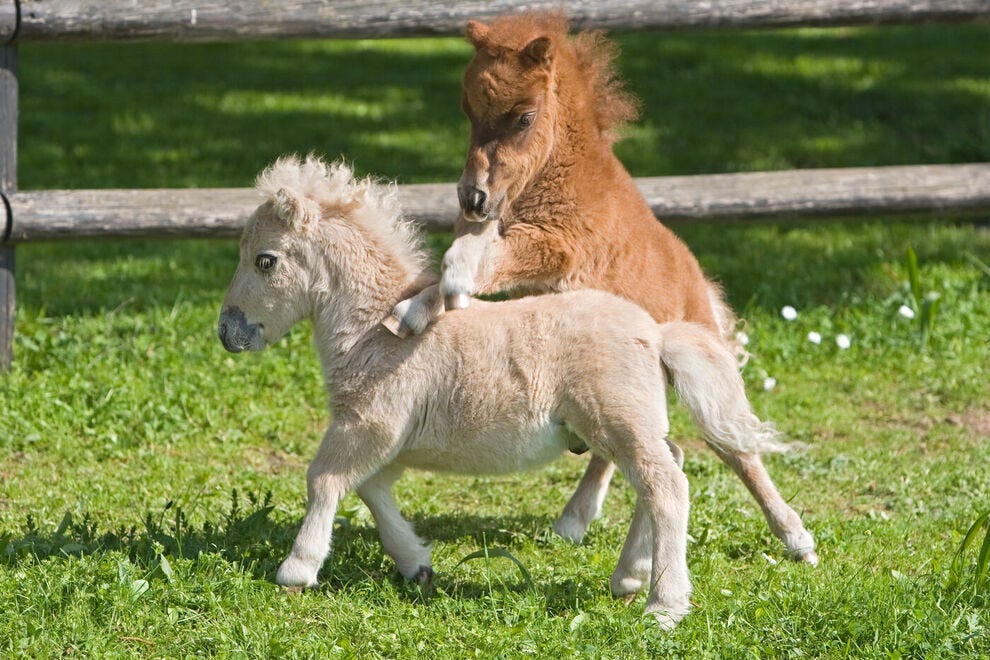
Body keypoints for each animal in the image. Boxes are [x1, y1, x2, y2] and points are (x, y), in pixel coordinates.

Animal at [386, 11, 812, 564]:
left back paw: (796, 537)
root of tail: (701, 286)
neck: (560, 177)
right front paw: (411, 312)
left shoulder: (557, 248)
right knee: (622, 447)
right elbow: (462, 267)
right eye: (468, 111)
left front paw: (442, 290)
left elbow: (476, 262)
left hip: (697, 367)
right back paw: (575, 520)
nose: (472, 197)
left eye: (524, 117)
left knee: (731, 445)